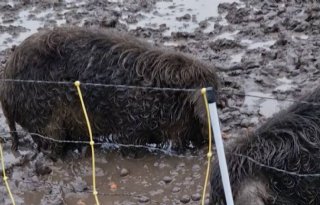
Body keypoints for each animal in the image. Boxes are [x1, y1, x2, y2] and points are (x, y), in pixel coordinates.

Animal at [0, 26, 220, 156]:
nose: (209, 140)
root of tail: (5, 88)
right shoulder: (132, 123)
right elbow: (132, 142)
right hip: (44, 120)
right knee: (48, 145)